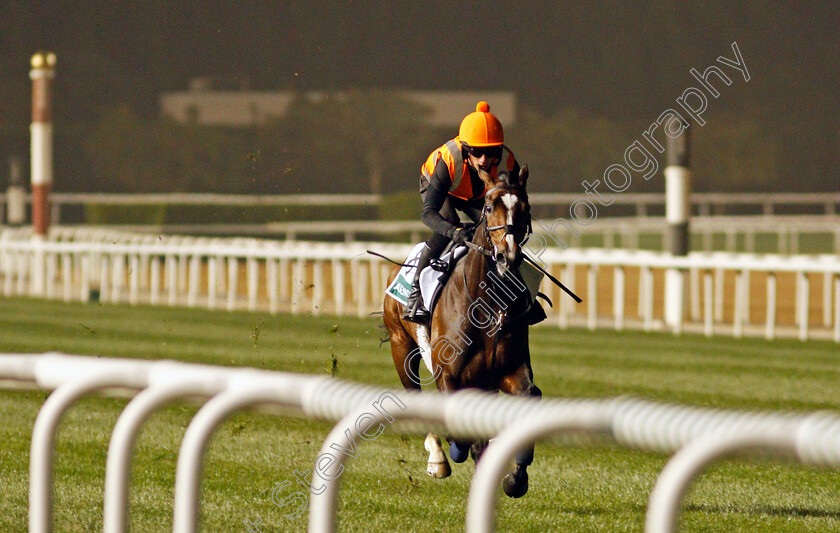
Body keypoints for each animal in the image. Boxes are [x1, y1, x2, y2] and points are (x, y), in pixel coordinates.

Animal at [384, 166, 540, 498]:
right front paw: (457, 450)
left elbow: (529, 397)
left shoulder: (508, 370)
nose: (508, 257)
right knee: (414, 393)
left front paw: (515, 478)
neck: (485, 305)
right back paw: (438, 458)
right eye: (489, 208)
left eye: (525, 208)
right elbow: (466, 434)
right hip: (401, 345)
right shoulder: (449, 375)